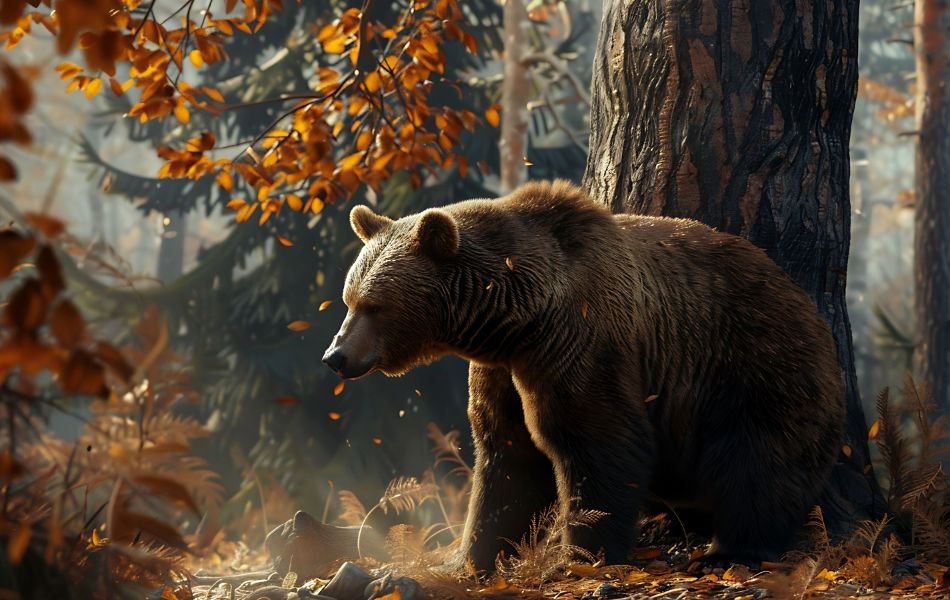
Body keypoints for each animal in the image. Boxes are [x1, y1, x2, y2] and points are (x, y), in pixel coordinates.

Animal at [322, 180, 845, 572]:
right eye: (350, 299)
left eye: (375, 305)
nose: (335, 356)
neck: (518, 316)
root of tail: (810, 306)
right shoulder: (503, 370)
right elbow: (507, 458)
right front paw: (475, 556)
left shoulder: (582, 340)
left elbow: (597, 440)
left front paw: (584, 552)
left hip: (752, 363)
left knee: (758, 460)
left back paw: (731, 550)